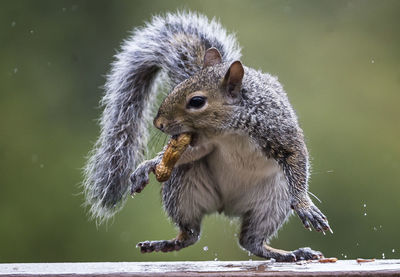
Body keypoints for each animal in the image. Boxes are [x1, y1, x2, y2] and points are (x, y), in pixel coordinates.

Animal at [82, 11, 332, 260]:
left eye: (197, 101)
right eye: (177, 87)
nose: (158, 123)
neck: (230, 130)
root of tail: (226, 207)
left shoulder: (276, 128)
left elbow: (294, 154)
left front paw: (304, 205)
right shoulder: (202, 141)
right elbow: (192, 152)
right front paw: (149, 165)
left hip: (273, 200)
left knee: (251, 241)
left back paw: (289, 253)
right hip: (183, 189)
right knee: (192, 233)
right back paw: (166, 243)